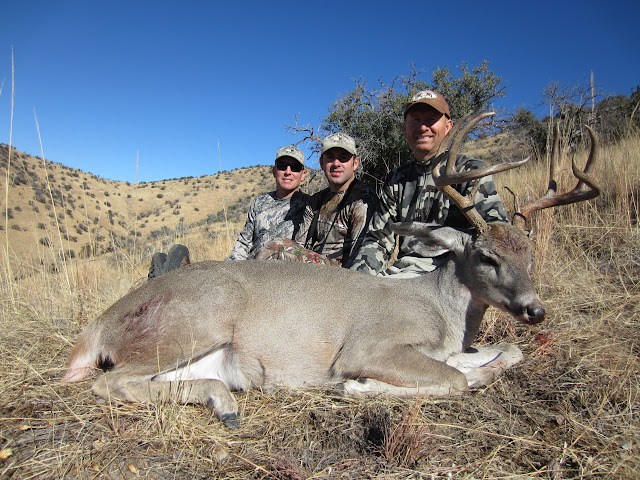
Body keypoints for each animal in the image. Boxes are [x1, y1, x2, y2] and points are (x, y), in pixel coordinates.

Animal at [62, 115, 600, 428]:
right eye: (488, 257)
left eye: (529, 256)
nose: (535, 310)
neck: (440, 312)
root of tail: (99, 325)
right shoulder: (370, 345)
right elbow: (454, 381)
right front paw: (356, 388)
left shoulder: (454, 348)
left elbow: (502, 355)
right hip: (193, 322)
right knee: (107, 383)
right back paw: (227, 403)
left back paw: (224, 398)